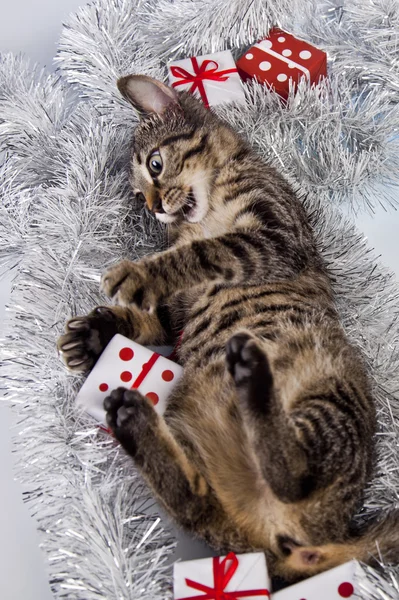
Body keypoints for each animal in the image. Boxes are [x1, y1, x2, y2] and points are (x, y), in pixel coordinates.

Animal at [57, 75, 399, 580]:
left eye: (155, 164)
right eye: (138, 195)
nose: (155, 208)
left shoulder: (272, 236)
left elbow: (205, 253)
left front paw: (142, 273)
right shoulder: (180, 310)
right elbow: (152, 320)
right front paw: (94, 335)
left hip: (331, 398)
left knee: (293, 473)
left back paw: (251, 376)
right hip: (198, 448)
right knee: (195, 502)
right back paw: (130, 417)